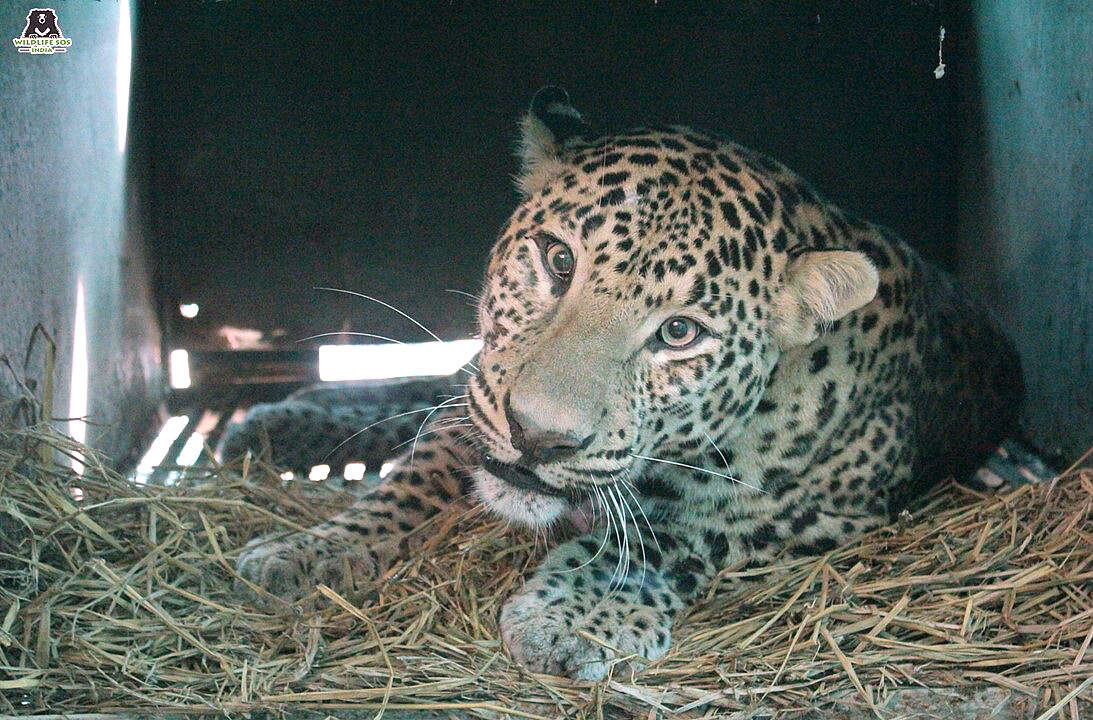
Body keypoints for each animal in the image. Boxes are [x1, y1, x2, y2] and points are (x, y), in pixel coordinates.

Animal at [232, 87, 1023, 681]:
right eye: (557, 261)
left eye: (678, 334)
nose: (538, 436)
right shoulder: (482, 402)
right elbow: (413, 480)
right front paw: (305, 554)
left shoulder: (824, 511)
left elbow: (667, 539)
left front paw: (568, 621)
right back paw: (283, 419)